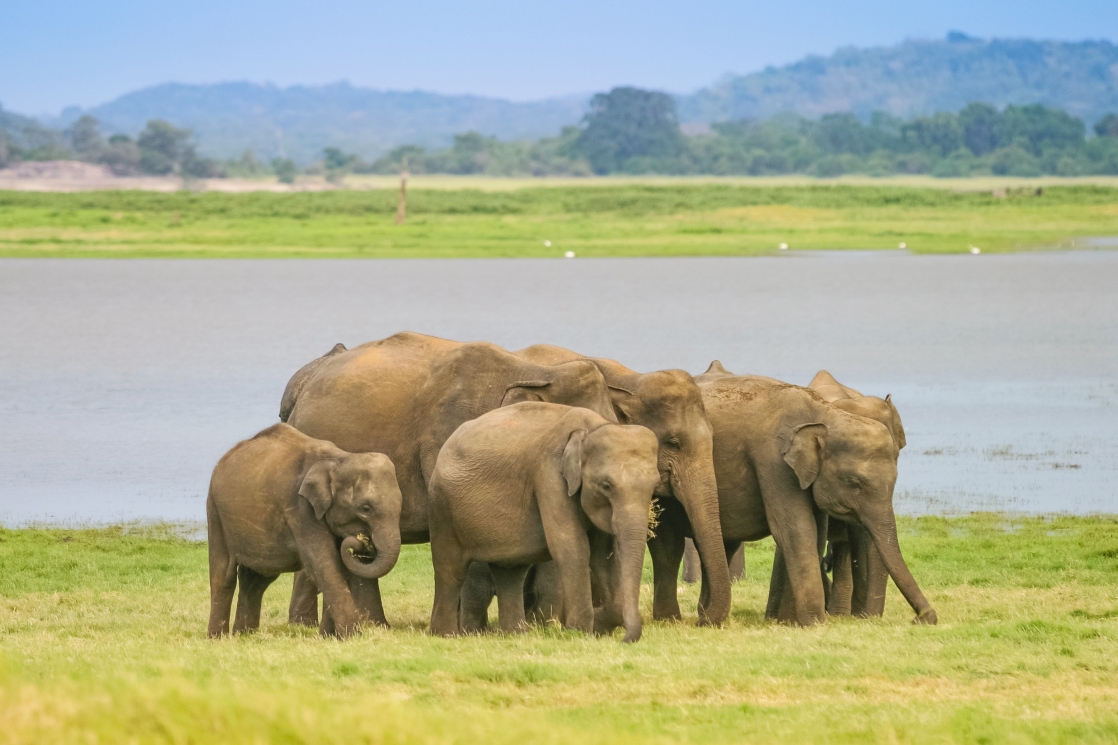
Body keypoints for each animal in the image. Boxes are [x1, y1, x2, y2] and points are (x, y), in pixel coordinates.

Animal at [207, 422, 404, 639]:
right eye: (366, 509)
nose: (362, 541)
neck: (339, 459)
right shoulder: (300, 508)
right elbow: (324, 563)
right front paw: (353, 636)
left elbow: (338, 566)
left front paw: (329, 637)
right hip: (215, 511)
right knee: (223, 575)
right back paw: (217, 638)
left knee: (257, 579)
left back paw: (244, 635)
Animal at [424, 400, 652, 639]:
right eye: (606, 485)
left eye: (655, 485)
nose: (625, 641)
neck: (591, 429)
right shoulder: (549, 475)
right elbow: (571, 547)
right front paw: (578, 632)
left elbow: (604, 556)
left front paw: (596, 627)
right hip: (442, 508)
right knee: (451, 571)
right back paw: (445, 635)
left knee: (511, 573)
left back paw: (515, 634)